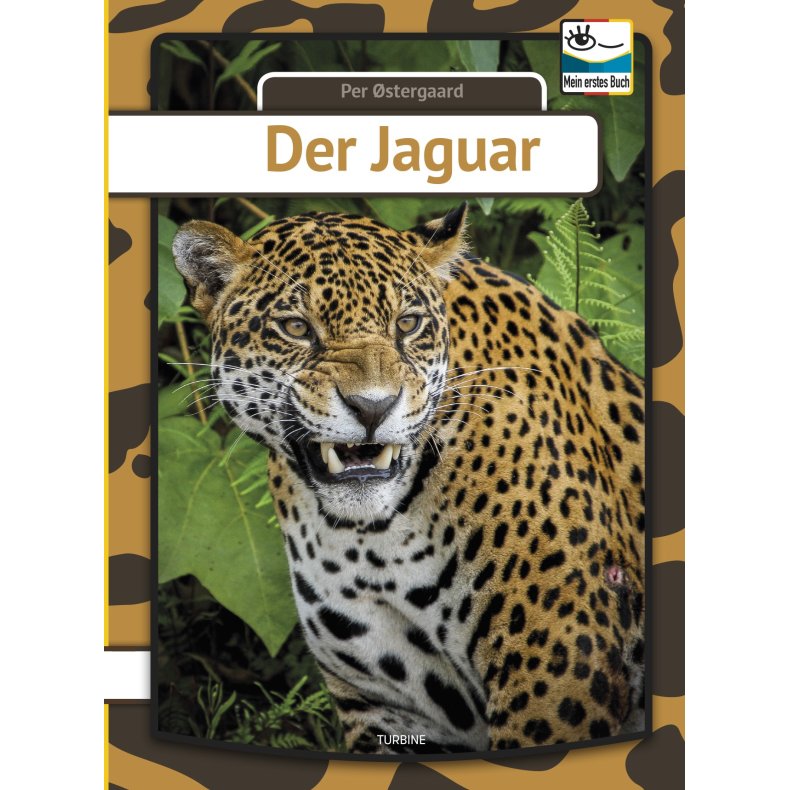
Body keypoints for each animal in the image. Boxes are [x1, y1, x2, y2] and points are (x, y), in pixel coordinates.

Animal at [172, 204, 646, 754]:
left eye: (408, 323)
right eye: (294, 327)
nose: (372, 407)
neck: (373, 542)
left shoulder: (560, 668)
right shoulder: (384, 705)